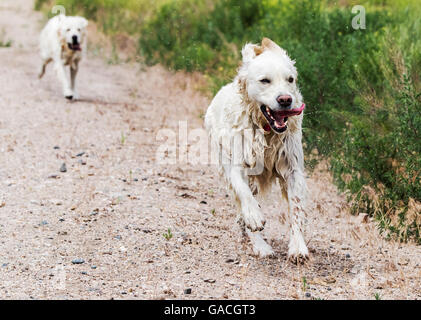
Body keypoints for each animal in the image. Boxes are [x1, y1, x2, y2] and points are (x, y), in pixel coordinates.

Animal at [206, 38, 308, 262]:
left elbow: (296, 208)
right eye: (265, 80)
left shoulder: (293, 169)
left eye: (290, 79)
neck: (266, 130)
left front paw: (298, 247)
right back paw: (260, 245)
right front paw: (253, 217)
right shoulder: (237, 165)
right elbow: (244, 194)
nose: (285, 100)